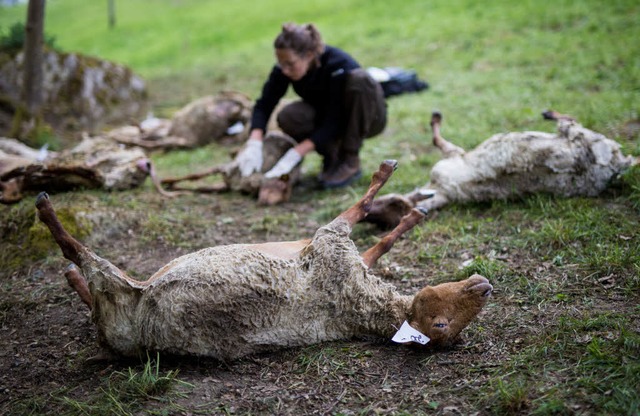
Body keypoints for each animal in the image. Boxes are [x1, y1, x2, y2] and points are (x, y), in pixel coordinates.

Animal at [36, 159, 496, 360]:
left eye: (442, 326)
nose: (485, 286)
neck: (358, 305)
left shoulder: (329, 245)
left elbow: (359, 210)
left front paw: (387, 181)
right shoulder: (330, 251)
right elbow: (372, 232)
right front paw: (409, 210)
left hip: (115, 295)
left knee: (82, 260)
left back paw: (48, 215)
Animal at [362, 110, 636, 228]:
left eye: (385, 204)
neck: (445, 191)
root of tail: (618, 165)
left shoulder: (452, 156)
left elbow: (436, 139)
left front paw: (435, 119)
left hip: (582, 136)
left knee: (569, 120)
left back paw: (549, 113)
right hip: (583, 138)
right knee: (569, 121)